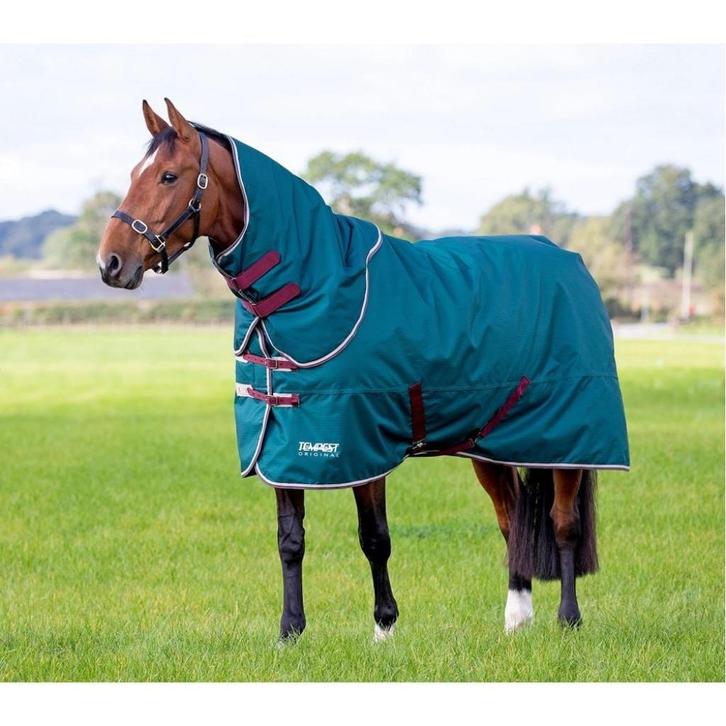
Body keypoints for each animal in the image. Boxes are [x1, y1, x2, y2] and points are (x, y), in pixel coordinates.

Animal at [97, 99, 628, 642]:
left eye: (168, 176)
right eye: (135, 173)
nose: (110, 262)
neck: (312, 280)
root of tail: (570, 262)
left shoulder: (361, 440)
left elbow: (375, 538)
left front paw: (384, 628)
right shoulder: (284, 441)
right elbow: (290, 539)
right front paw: (291, 631)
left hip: (569, 438)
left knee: (563, 523)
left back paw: (569, 619)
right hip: (492, 442)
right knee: (513, 518)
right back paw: (517, 618)